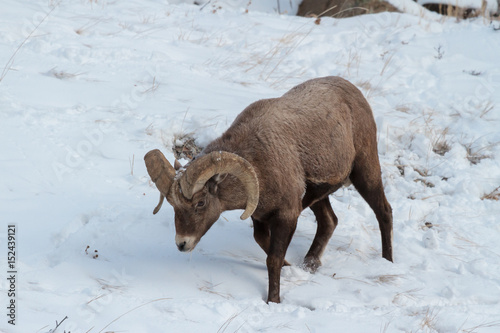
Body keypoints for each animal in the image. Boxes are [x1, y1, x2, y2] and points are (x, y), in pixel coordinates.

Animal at [145, 76, 394, 304]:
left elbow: (272, 259)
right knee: (329, 221)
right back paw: (309, 265)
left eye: (200, 203)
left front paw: (273, 300)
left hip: (365, 171)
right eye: (173, 205)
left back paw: (388, 261)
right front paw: (289, 268)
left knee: (384, 211)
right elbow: (264, 245)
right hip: (318, 197)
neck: (259, 161)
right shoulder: (260, 217)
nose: (182, 244)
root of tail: (353, 90)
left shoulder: (287, 215)